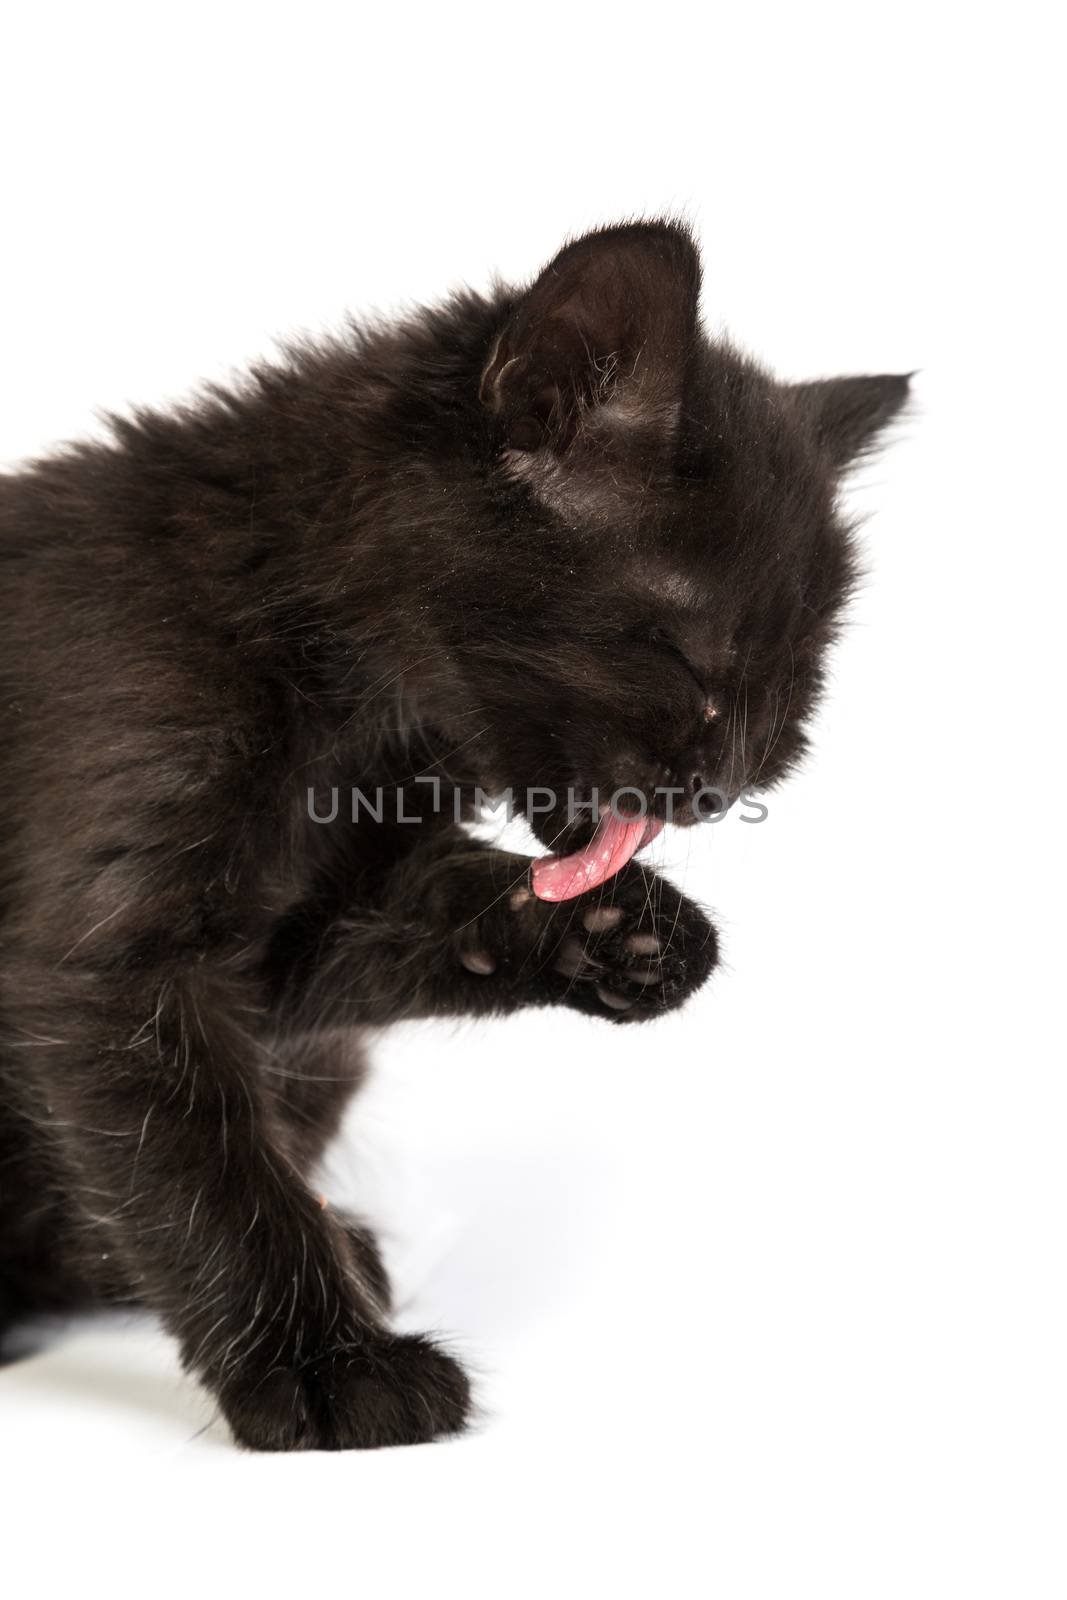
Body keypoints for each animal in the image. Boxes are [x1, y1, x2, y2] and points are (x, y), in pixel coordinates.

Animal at [0, 222, 908, 1452]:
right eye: (696, 661)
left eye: (797, 682)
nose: (724, 786)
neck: (354, 715)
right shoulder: (115, 962)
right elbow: (204, 1168)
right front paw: (326, 1370)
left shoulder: (292, 962)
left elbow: (416, 929)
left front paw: (619, 935)